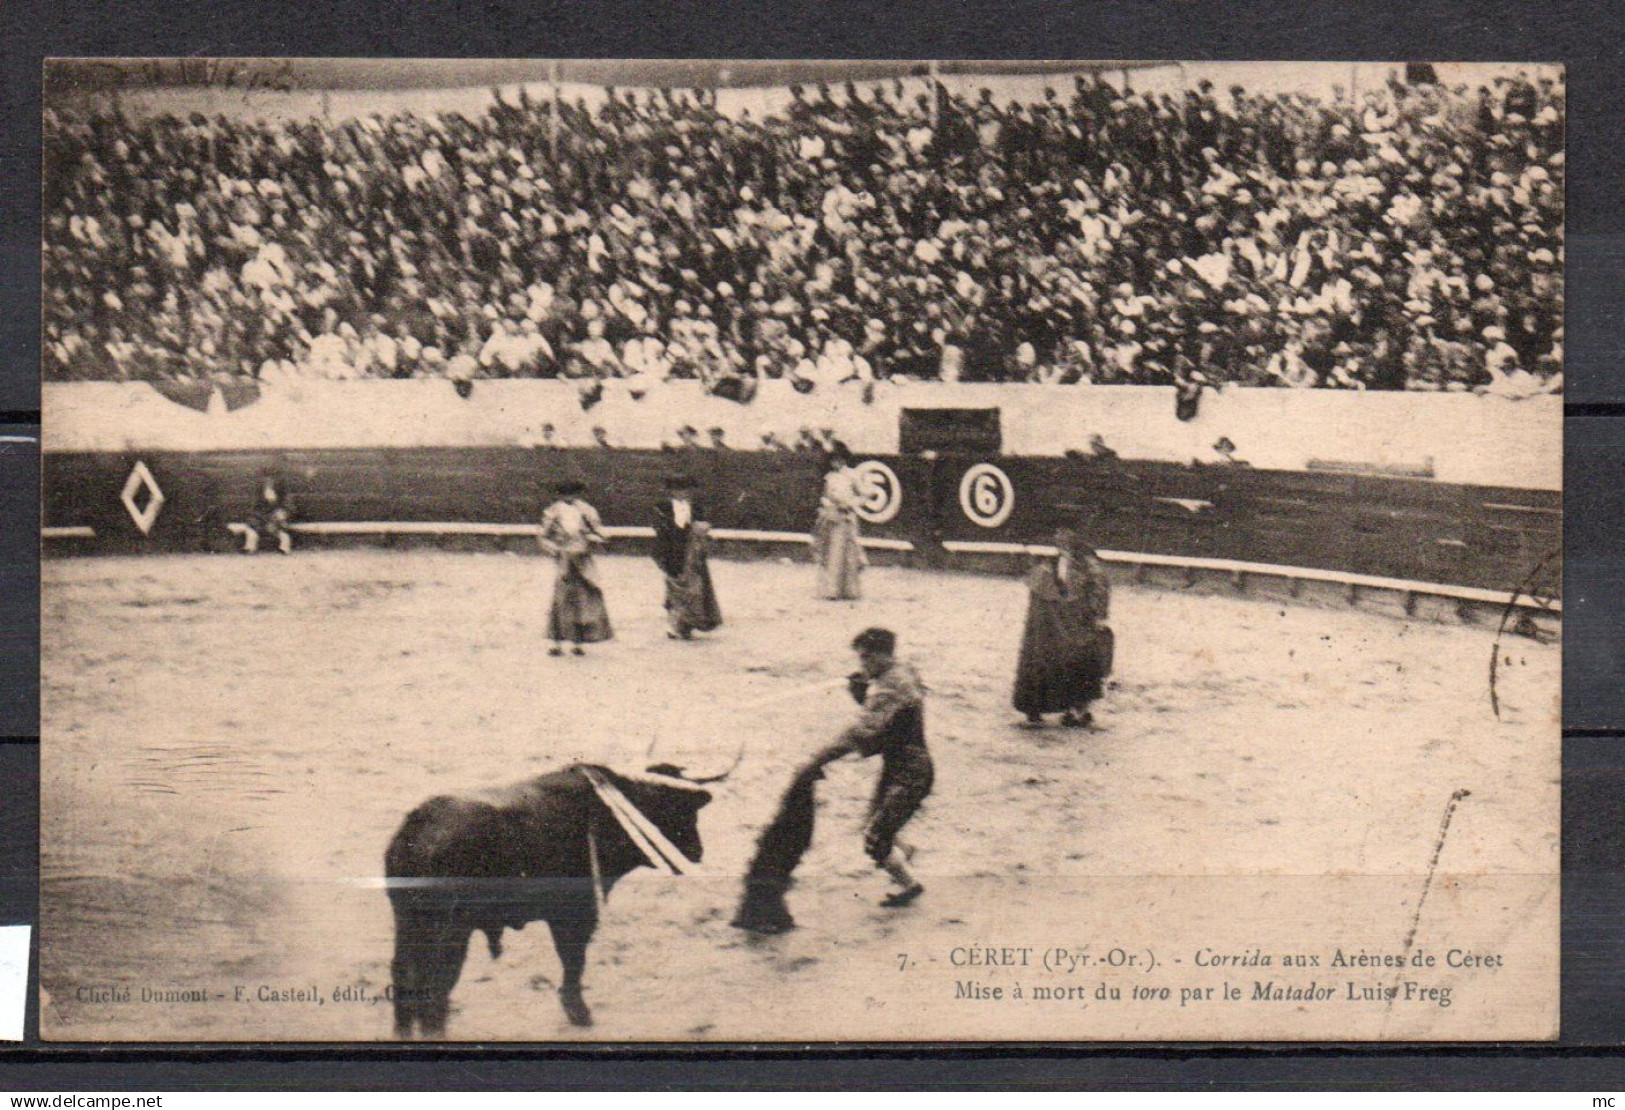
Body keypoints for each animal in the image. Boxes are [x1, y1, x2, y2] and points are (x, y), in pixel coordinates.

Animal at [383, 760, 715, 1040]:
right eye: (678, 810)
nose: (697, 853)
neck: (603, 813)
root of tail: (415, 832)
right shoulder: (577, 913)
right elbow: (573, 960)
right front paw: (579, 1013)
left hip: (408, 923)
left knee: (403, 976)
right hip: (449, 931)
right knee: (436, 987)